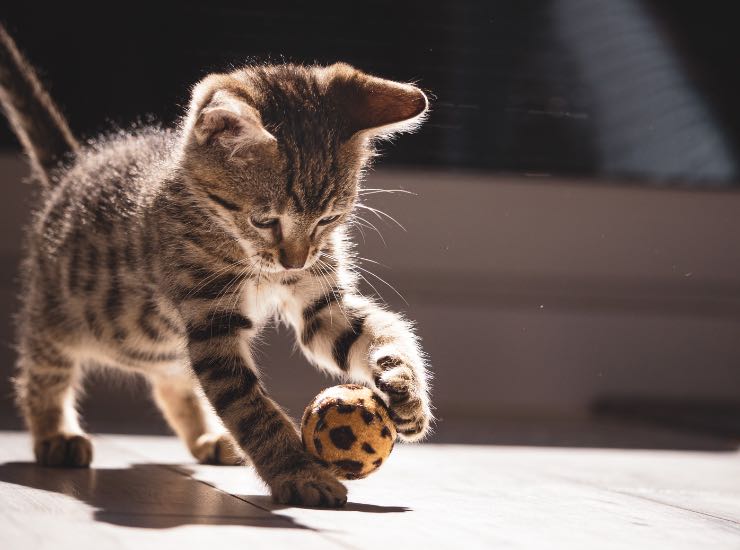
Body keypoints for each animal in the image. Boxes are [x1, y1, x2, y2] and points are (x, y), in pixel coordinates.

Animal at [0, 24, 430, 508]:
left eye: (328, 219)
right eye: (265, 220)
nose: (295, 260)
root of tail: (73, 169)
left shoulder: (321, 305)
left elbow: (376, 330)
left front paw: (405, 387)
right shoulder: (211, 322)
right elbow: (249, 407)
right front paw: (299, 472)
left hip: (165, 345)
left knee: (173, 382)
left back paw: (207, 438)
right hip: (57, 317)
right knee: (41, 371)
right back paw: (55, 433)